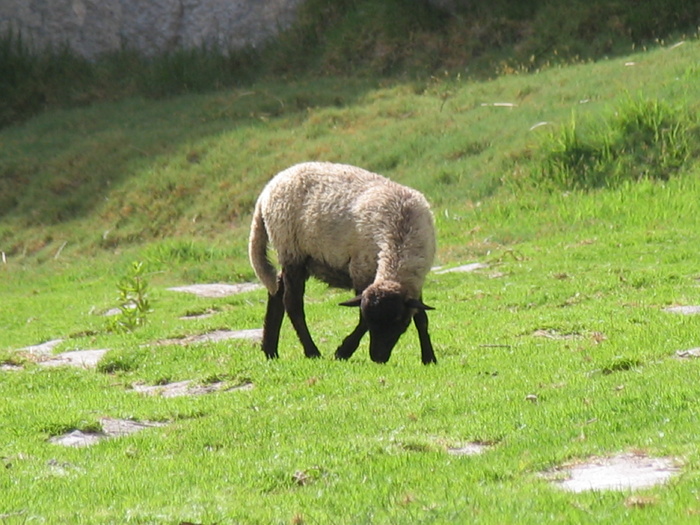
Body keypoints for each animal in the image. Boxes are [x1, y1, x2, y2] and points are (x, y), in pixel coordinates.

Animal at [247, 162, 438, 362]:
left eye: (399, 321)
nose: (378, 357)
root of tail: (267, 190)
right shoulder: (361, 269)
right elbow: (362, 319)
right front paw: (343, 351)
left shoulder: (414, 281)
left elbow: (422, 318)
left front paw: (429, 358)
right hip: (291, 250)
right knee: (292, 303)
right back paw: (311, 351)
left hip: (299, 257)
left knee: (277, 289)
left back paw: (270, 350)